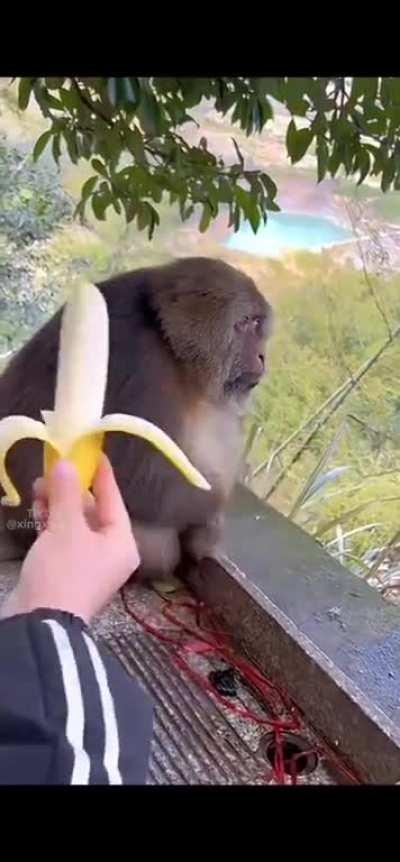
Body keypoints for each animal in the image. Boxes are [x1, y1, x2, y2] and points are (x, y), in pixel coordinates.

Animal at [0, 257, 272, 580]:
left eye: (259, 326)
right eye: (247, 323)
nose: (262, 357)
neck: (167, 340)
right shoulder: (144, 368)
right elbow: (143, 482)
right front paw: (214, 511)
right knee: (158, 547)